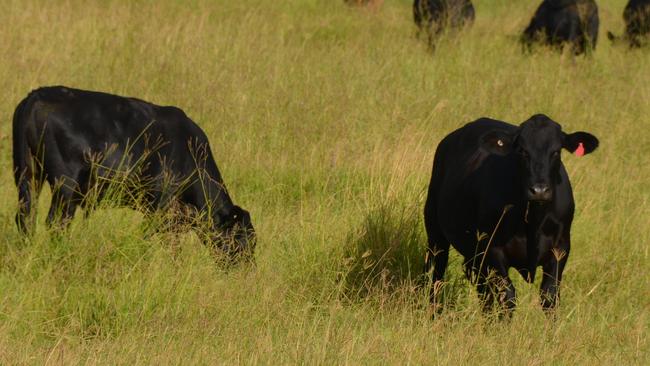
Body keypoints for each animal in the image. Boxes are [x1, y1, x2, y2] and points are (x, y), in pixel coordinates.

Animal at [13, 86, 256, 260]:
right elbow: (148, 238)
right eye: (242, 239)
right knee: (56, 222)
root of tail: (37, 96)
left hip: (28, 176)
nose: (247, 269)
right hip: (66, 184)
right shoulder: (159, 206)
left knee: (26, 217)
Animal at [422, 113, 600, 314]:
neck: (533, 221)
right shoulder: (493, 247)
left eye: (556, 151)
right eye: (522, 151)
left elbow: (550, 296)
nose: (539, 190)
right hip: (435, 232)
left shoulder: (561, 247)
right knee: (436, 275)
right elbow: (507, 296)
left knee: (484, 292)